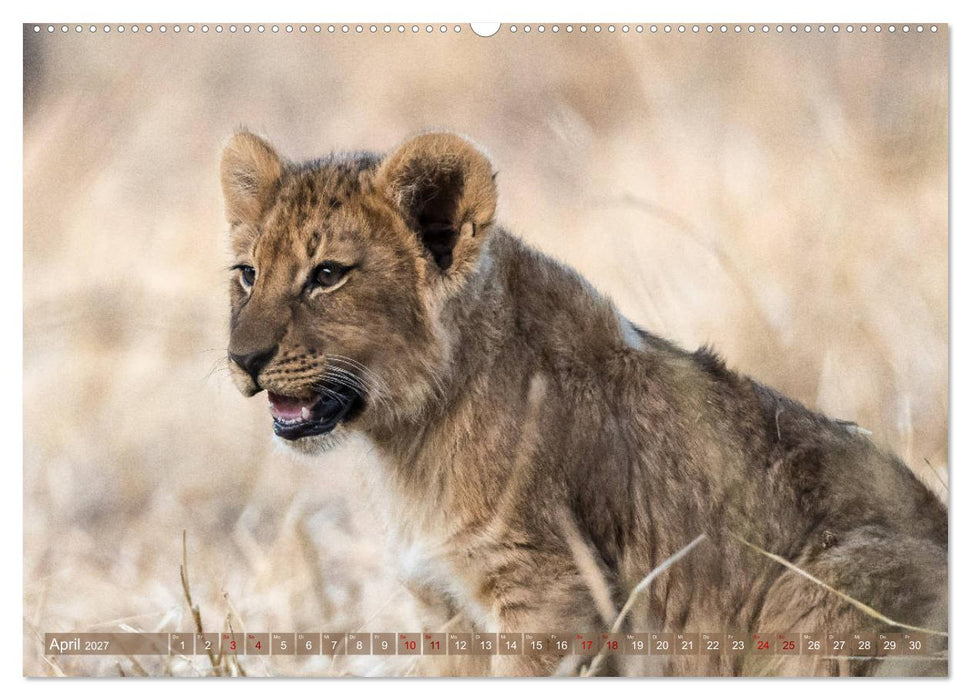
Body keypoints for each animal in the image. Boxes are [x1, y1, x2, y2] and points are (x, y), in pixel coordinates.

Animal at [219, 130, 947, 676]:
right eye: (248, 274)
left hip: (820, 587)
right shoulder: (444, 609)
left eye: (326, 275)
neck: (410, 438)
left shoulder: (552, 595)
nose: (242, 360)